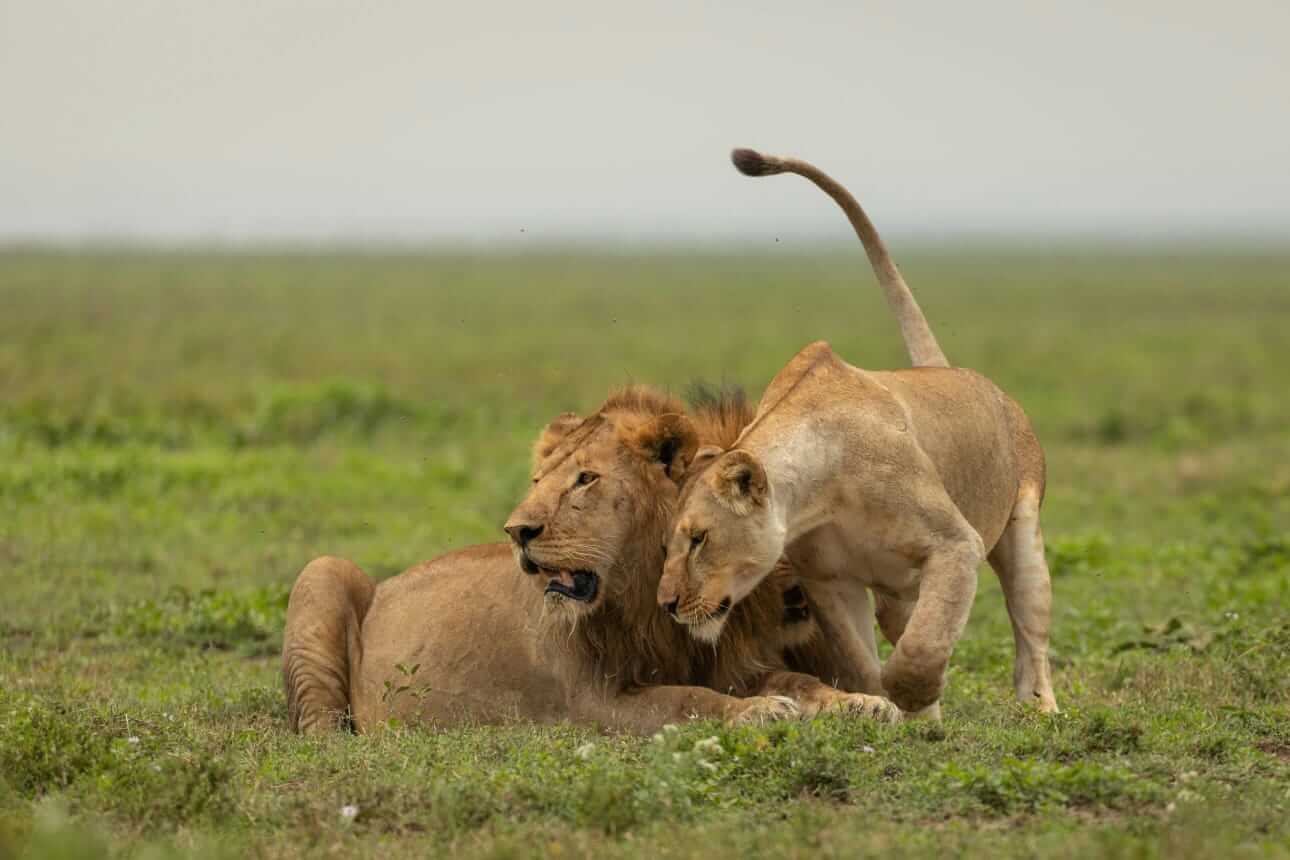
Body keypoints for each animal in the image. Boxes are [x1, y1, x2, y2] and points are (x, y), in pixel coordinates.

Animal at [283, 387, 897, 735]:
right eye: (538, 481)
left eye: (586, 479)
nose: (517, 531)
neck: (648, 596)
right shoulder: (592, 701)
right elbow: (686, 701)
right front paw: (757, 712)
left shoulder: (730, 663)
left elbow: (799, 679)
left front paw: (860, 703)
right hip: (323, 572)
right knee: (318, 723)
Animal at [656, 148, 1058, 717]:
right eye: (666, 544)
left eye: (699, 539)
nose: (667, 605)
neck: (822, 492)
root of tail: (951, 372)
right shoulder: (830, 582)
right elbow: (859, 661)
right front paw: (880, 707)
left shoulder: (956, 544)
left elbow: (924, 645)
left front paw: (911, 695)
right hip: (895, 592)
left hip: (1021, 534)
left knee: (1029, 630)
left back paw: (1039, 708)